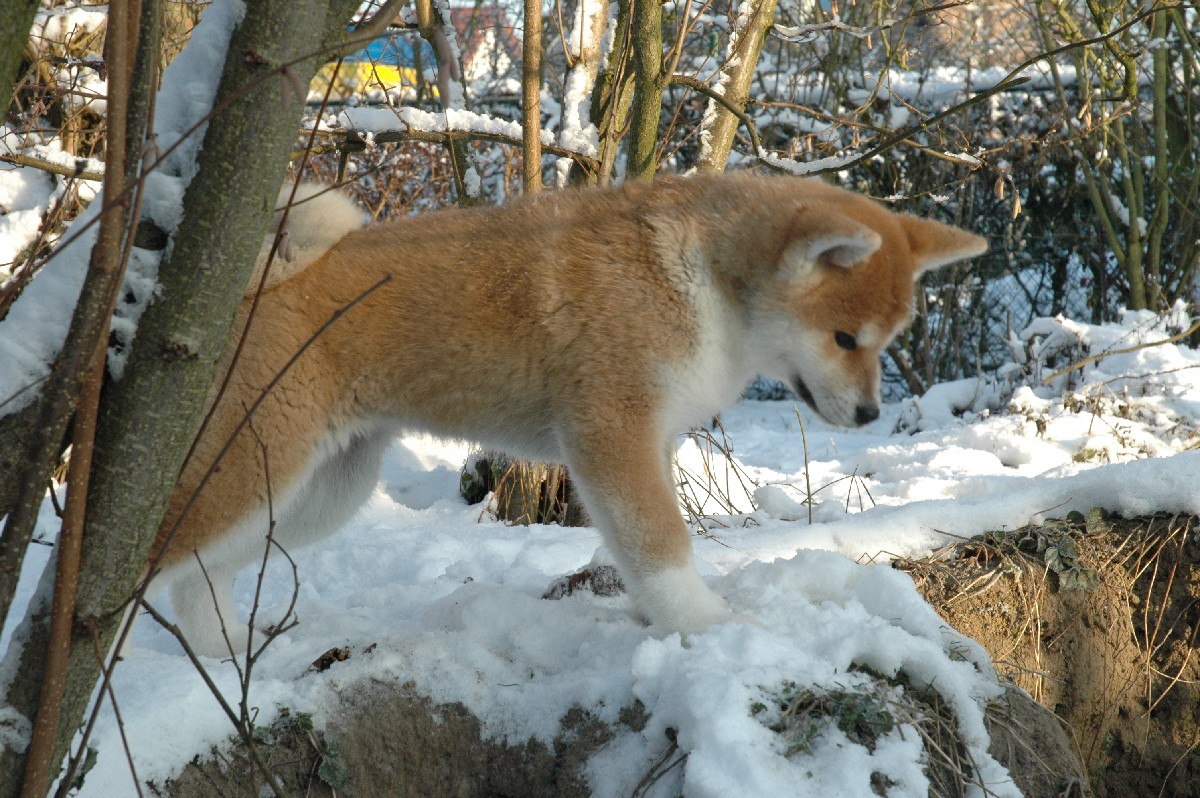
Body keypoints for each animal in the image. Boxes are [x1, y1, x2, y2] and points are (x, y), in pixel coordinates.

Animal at [150, 172, 986, 657]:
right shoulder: (611, 433)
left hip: (314, 491)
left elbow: (639, 550)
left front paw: (663, 623)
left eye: (890, 339)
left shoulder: (644, 445)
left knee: (200, 576)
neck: (706, 283)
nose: (872, 413)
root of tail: (262, 280)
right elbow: (662, 545)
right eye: (845, 338)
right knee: (154, 560)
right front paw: (709, 628)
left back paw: (223, 653)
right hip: (255, 467)